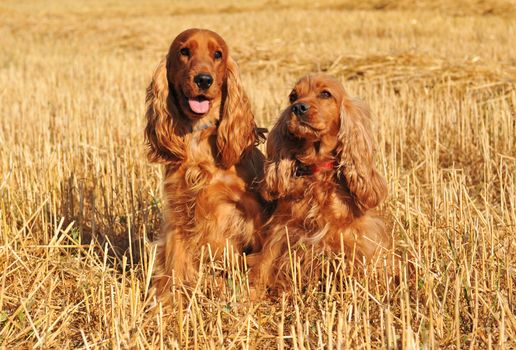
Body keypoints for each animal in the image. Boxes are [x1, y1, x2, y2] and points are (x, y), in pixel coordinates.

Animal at [145, 28, 266, 296]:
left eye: (218, 54)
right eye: (184, 51)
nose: (203, 80)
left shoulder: (253, 214)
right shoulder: (179, 212)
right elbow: (174, 267)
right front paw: (168, 303)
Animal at [248, 74, 390, 296]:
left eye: (325, 94)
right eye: (293, 96)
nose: (298, 107)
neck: (317, 169)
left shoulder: (354, 236)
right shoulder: (281, 231)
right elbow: (264, 264)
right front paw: (252, 294)